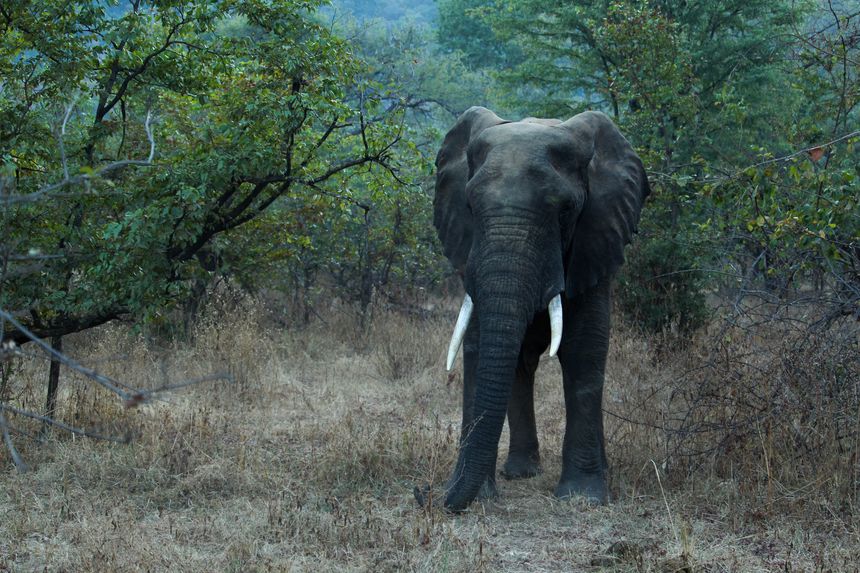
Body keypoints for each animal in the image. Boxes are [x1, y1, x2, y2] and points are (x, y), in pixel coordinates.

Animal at [421, 106, 649, 512]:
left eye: (566, 211)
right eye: (470, 205)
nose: (426, 493)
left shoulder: (594, 239)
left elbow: (583, 349)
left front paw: (582, 497)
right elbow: (477, 347)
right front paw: (481, 496)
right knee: (521, 362)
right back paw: (521, 473)